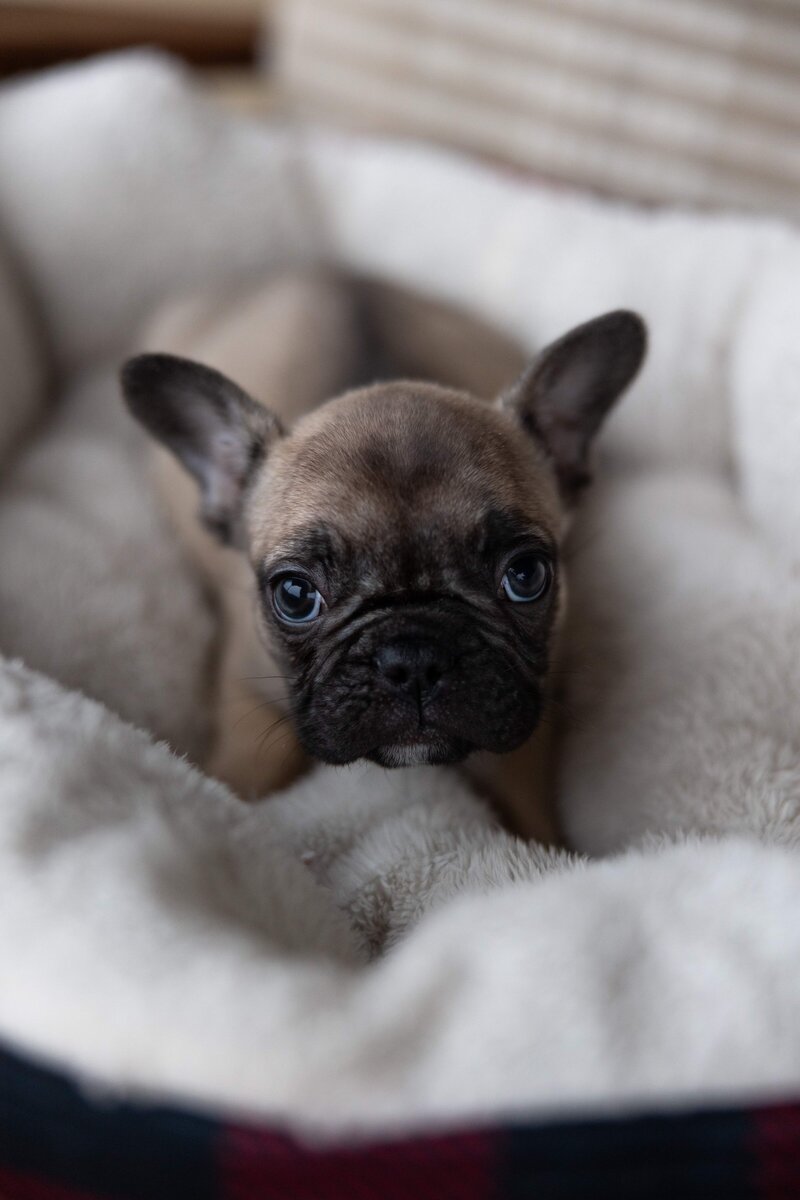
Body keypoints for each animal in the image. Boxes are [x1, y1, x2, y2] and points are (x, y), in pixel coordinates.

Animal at [120, 273, 642, 840]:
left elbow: (522, 795)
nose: (413, 659)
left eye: (525, 576)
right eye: (295, 595)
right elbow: (246, 774)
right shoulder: (247, 688)